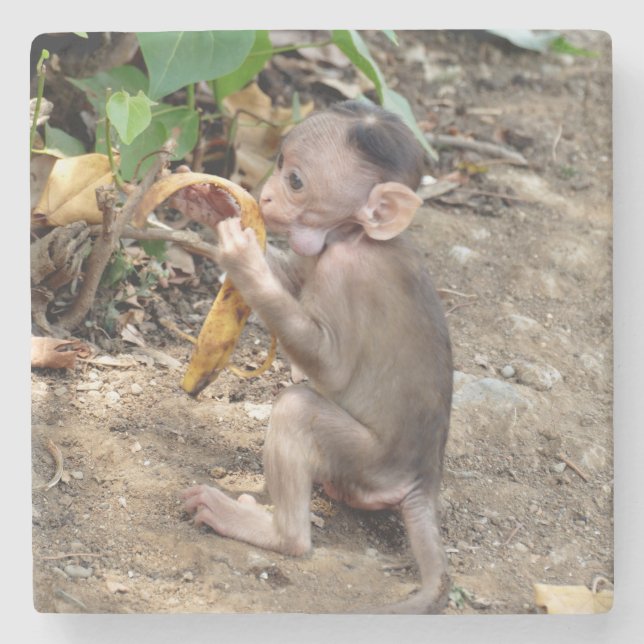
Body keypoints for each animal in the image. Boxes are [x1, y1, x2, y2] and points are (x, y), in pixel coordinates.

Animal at [182, 100, 453, 614]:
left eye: (296, 181)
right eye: (279, 163)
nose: (265, 197)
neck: (356, 235)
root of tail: (422, 481)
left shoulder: (345, 271)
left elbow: (331, 365)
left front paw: (242, 258)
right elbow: (294, 278)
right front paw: (215, 205)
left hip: (366, 461)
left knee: (297, 408)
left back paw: (275, 533)